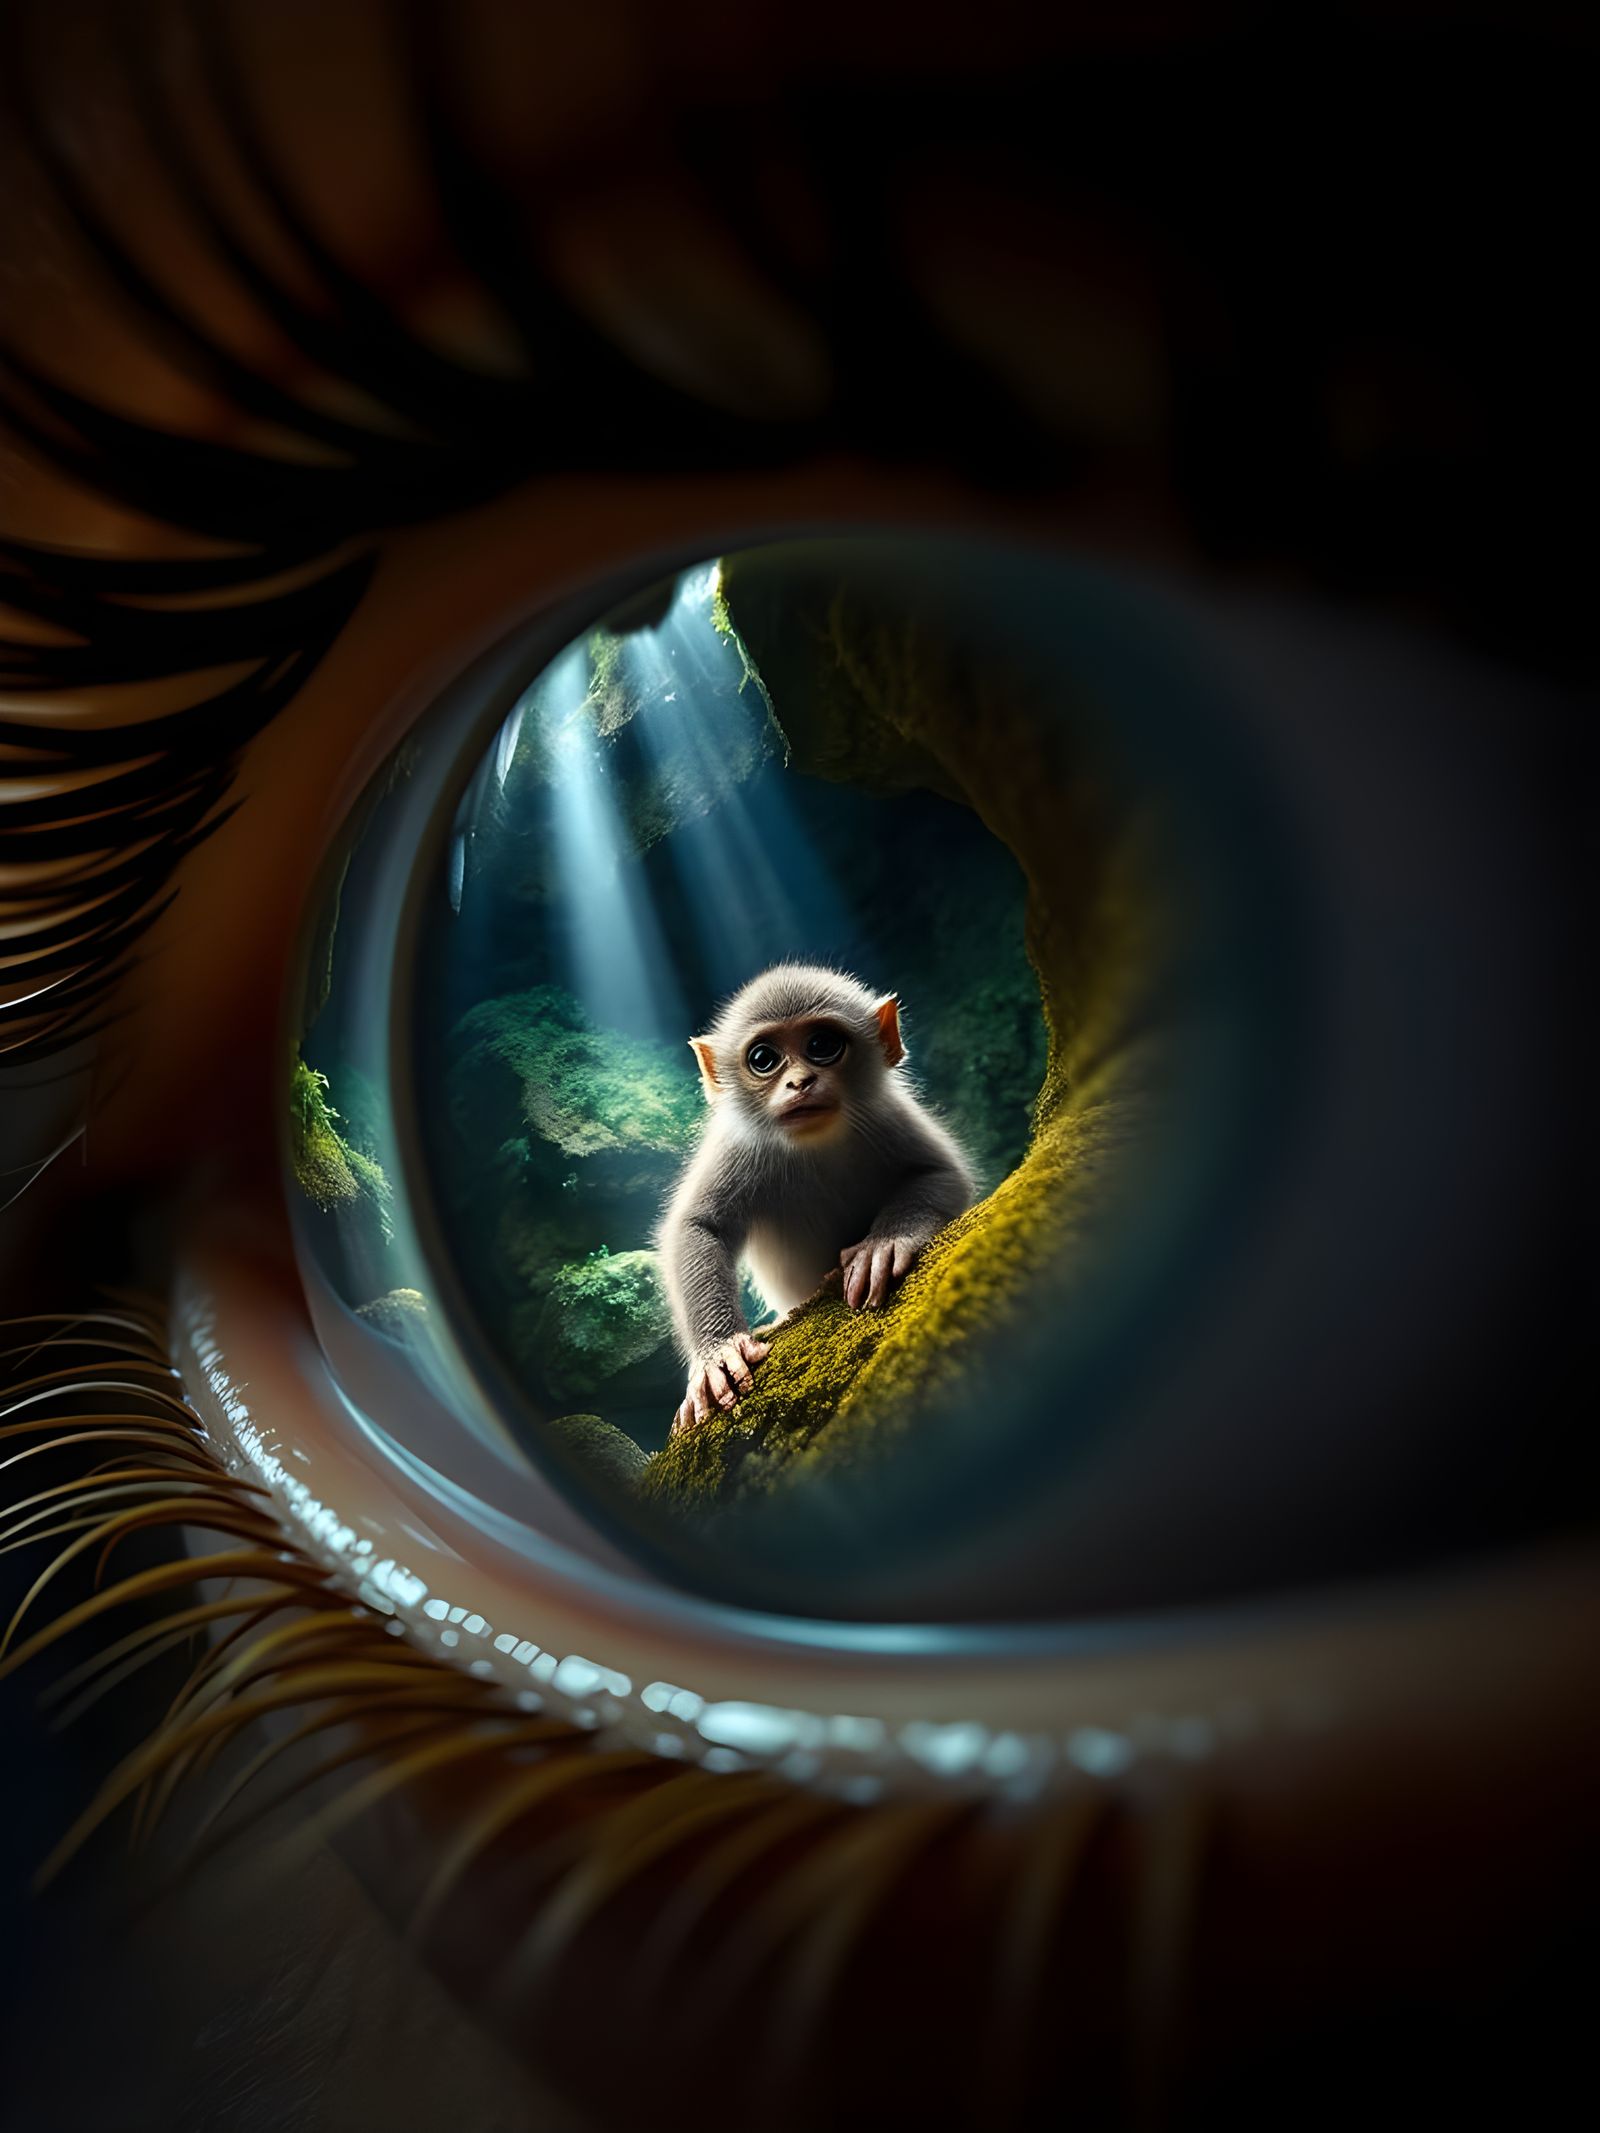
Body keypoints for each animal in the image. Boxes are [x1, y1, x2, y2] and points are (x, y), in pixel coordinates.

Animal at [656, 963, 976, 1435]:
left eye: (822, 1045)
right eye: (763, 1059)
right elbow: (697, 1226)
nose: (801, 1082)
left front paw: (883, 1245)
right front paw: (718, 1354)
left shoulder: (887, 1115)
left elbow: (940, 1174)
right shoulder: (737, 1146)